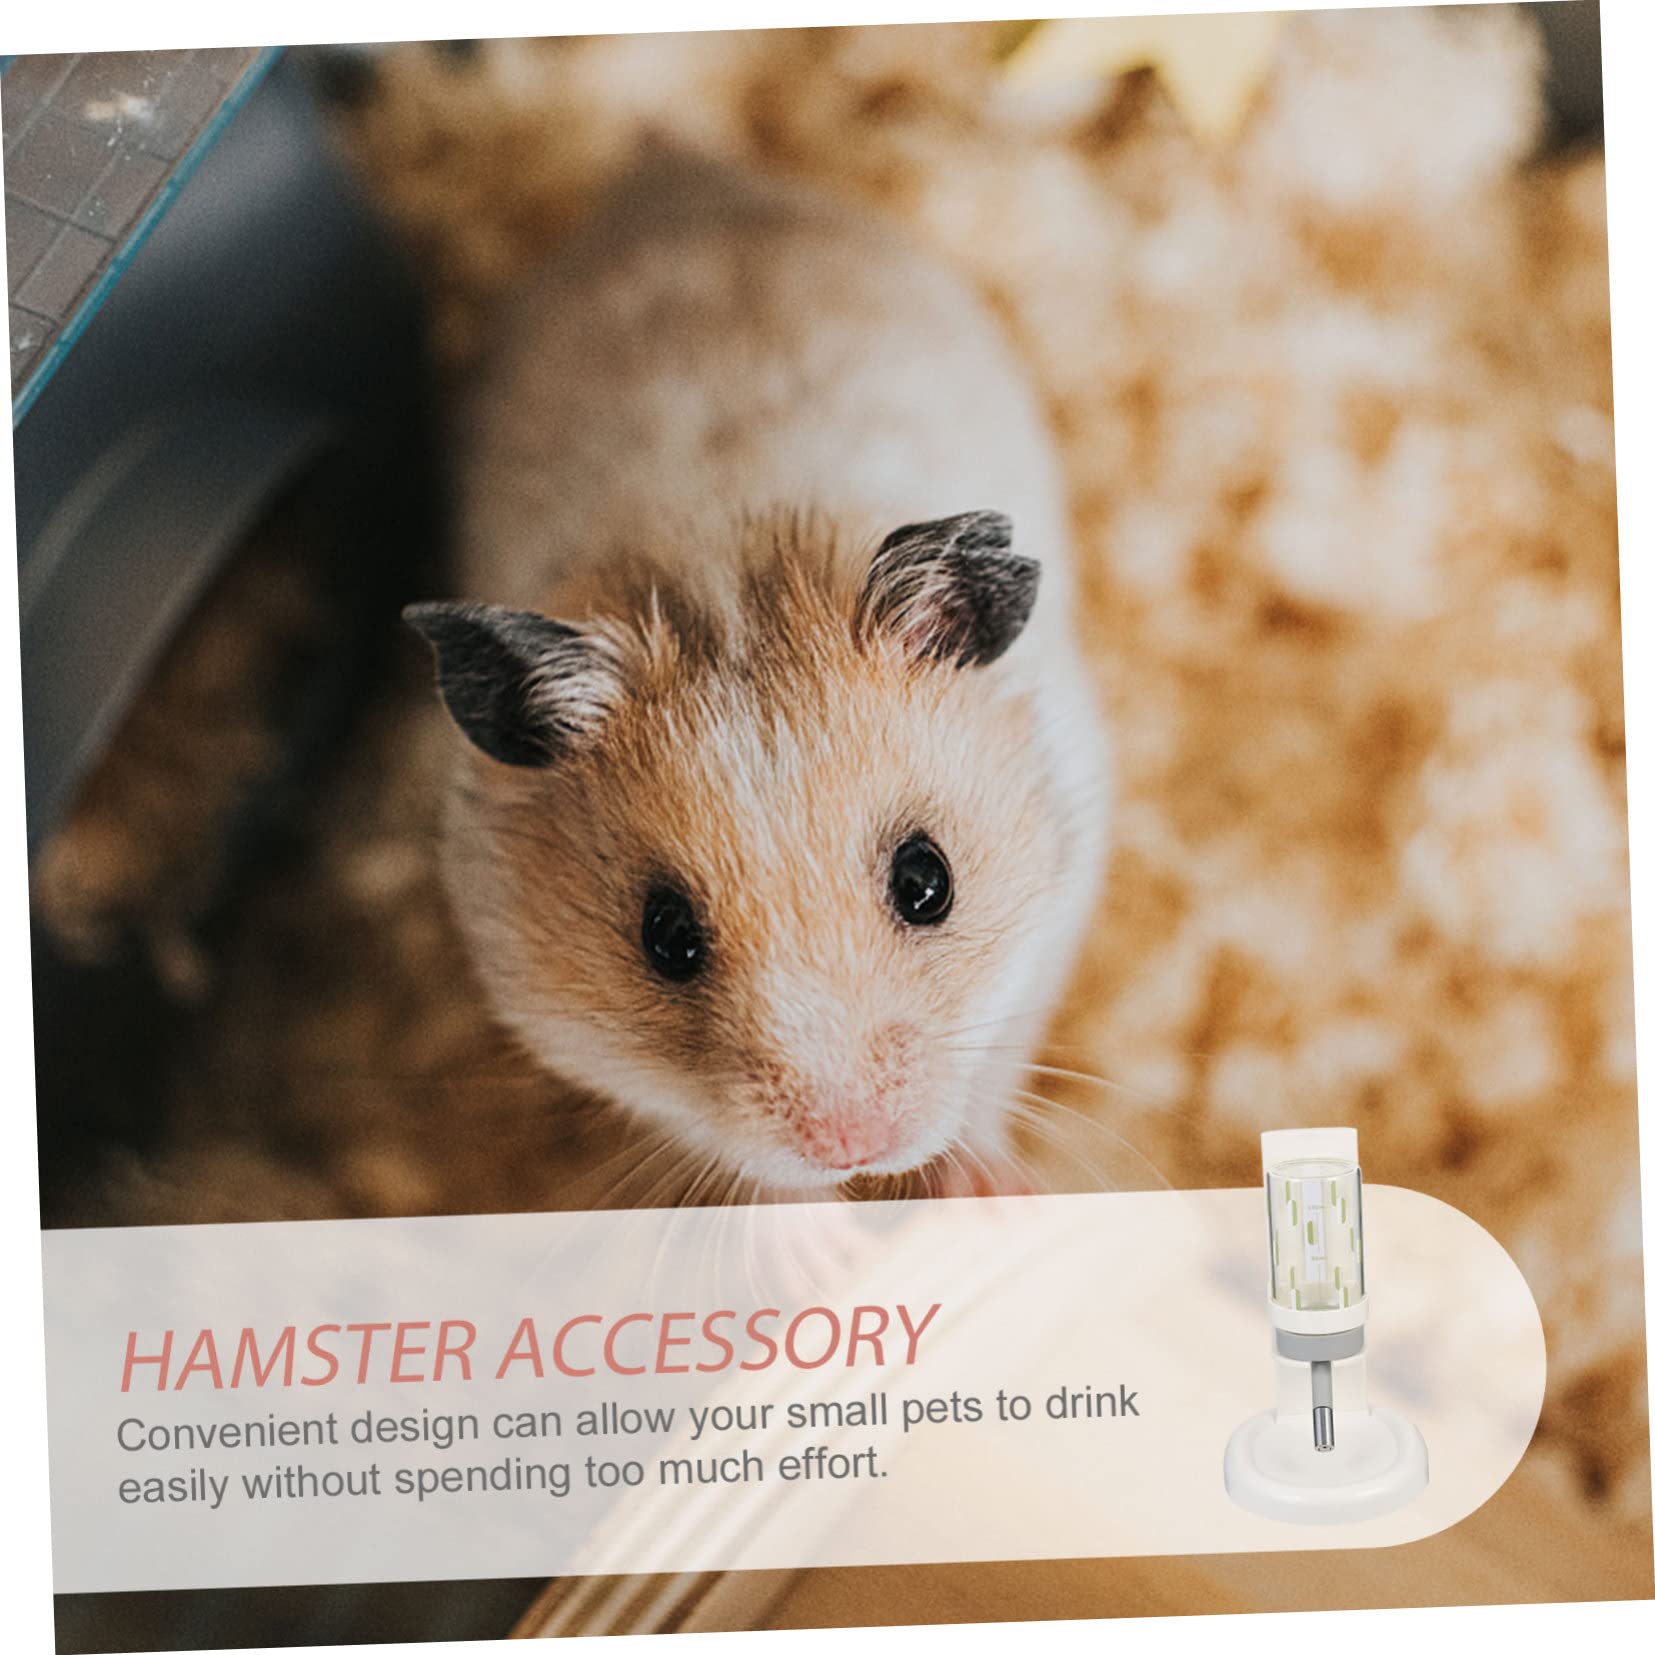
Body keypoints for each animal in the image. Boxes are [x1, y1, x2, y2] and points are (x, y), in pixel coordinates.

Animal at [407, 148, 1111, 1197]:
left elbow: (990, 1072)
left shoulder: (1057, 907)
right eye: (665, 938)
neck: (724, 583)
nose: (850, 1145)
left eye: (928, 881)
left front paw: (990, 1197)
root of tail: (671, 167)